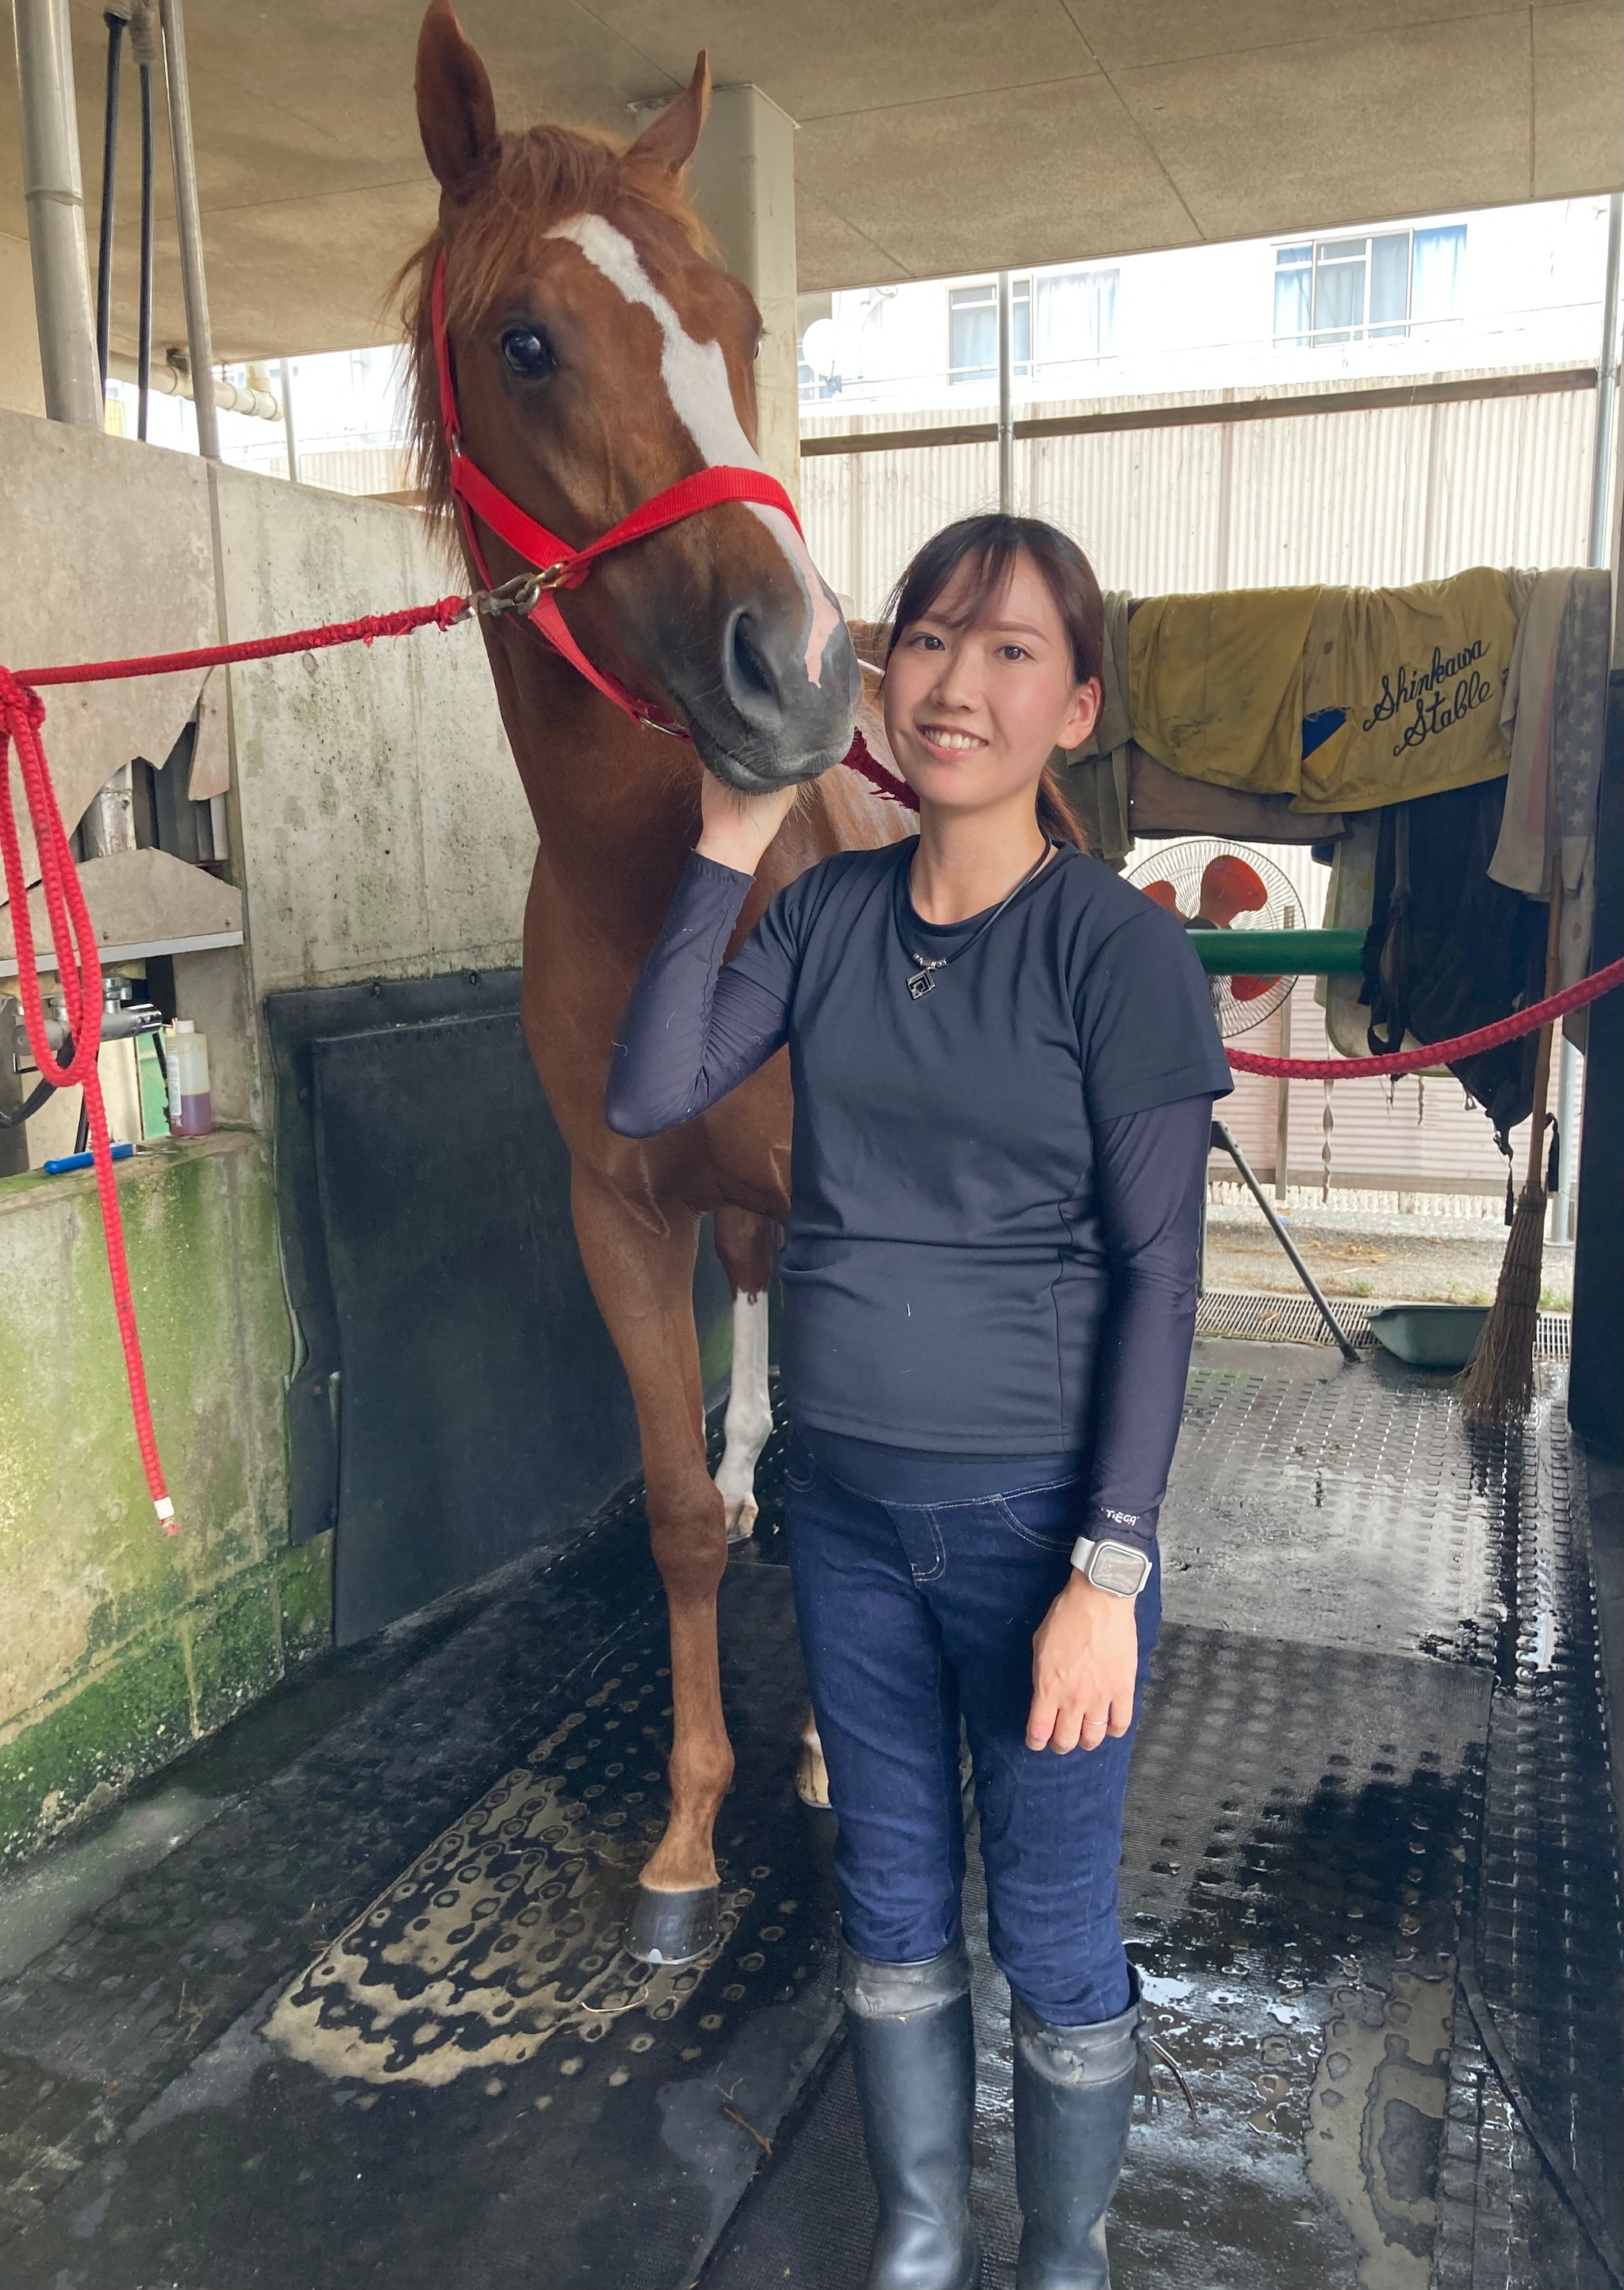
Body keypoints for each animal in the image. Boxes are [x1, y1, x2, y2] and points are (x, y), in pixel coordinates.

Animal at [404, 1, 910, 1966]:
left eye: (743, 322)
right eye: (525, 342)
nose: (799, 676)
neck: (675, 897)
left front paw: (842, 1760)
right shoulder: (618, 1212)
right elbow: (682, 1514)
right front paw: (689, 1837)